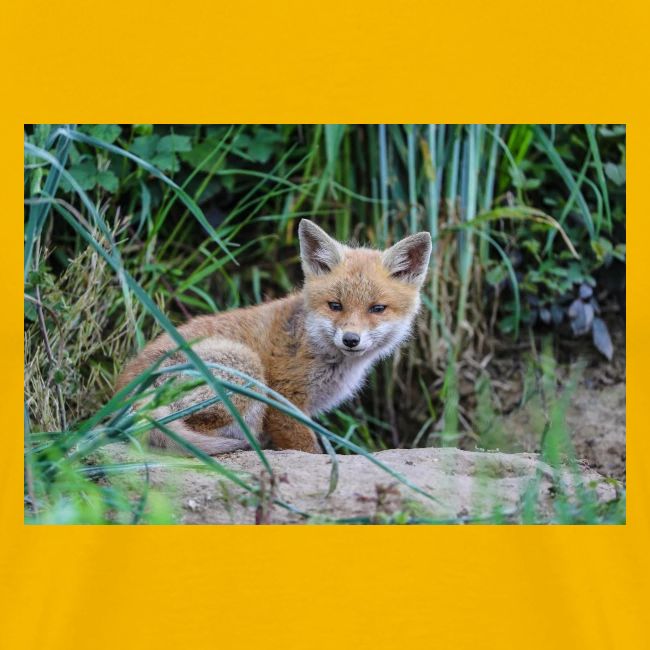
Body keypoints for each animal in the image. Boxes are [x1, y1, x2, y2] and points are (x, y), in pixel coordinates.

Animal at [116, 219, 432, 455]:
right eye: (335, 305)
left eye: (377, 309)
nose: (351, 339)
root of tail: (124, 396)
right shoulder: (283, 401)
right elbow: (308, 449)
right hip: (246, 368)